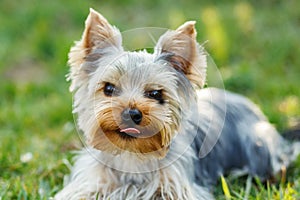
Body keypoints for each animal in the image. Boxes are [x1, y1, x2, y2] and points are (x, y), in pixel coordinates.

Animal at [54, 8, 300, 200]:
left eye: (155, 93)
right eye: (108, 88)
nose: (131, 113)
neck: (132, 154)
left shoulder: (179, 186)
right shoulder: (89, 182)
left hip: (258, 144)